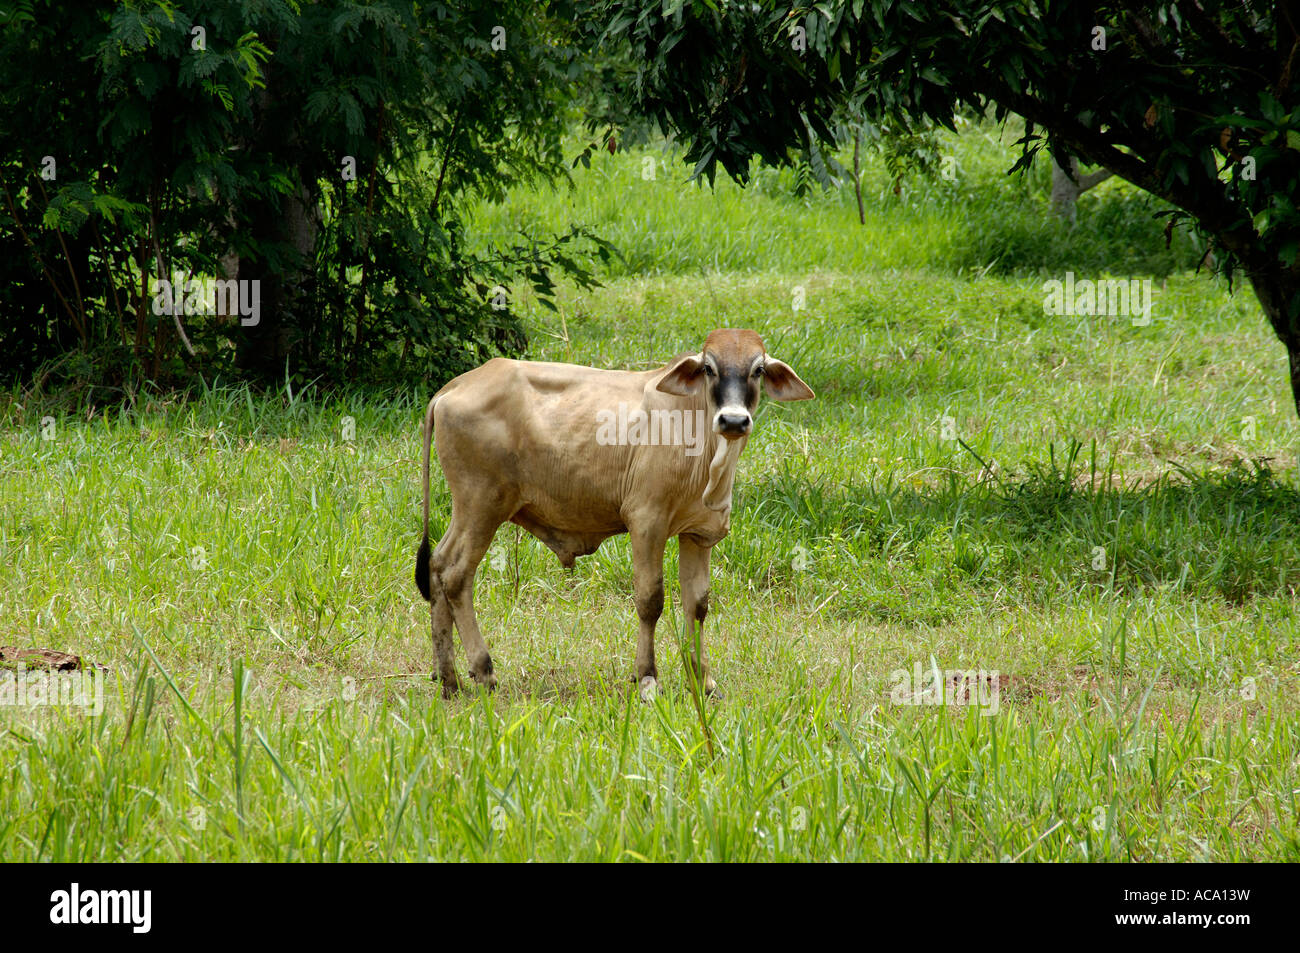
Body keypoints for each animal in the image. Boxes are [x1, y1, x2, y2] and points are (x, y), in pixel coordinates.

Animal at [415, 328, 814, 699]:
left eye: (758, 370)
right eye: (709, 368)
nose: (733, 421)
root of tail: (456, 385)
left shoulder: (699, 534)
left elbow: (697, 605)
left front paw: (702, 681)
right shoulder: (647, 523)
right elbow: (650, 601)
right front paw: (647, 679)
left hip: (468, 511)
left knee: (437, 564)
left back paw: (448, 677)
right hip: (482, 505)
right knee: (455, 575)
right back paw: (483, 670)